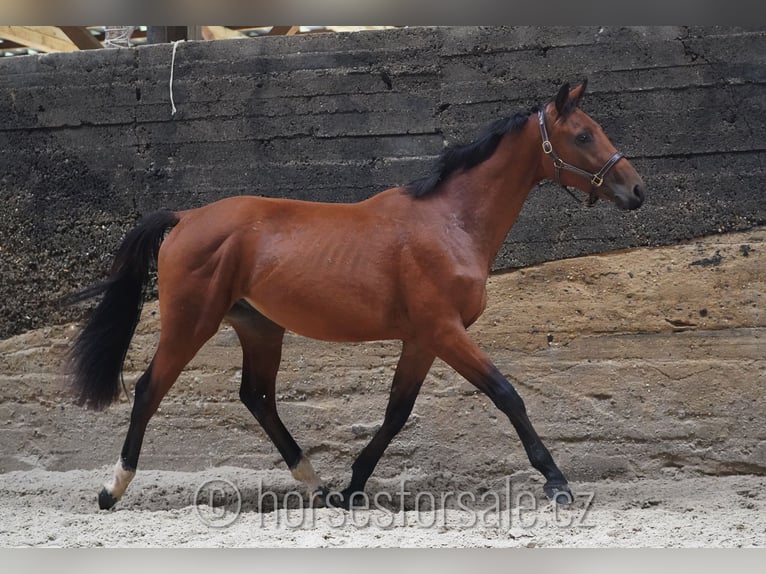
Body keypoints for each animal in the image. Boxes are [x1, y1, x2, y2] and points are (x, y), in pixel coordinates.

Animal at [68, 80, 646, 511]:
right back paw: (111, 489)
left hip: (259, 327)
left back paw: (316, 484)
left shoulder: (423, 340)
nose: (637, 190)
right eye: (583, 134)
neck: (451, 222)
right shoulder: (444, 331)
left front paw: (353, 487)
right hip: (191, 323)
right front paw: (557, 482)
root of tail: (186, 217)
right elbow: (507, 395)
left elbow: (396, 412)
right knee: (150, 389)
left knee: (257, 397)